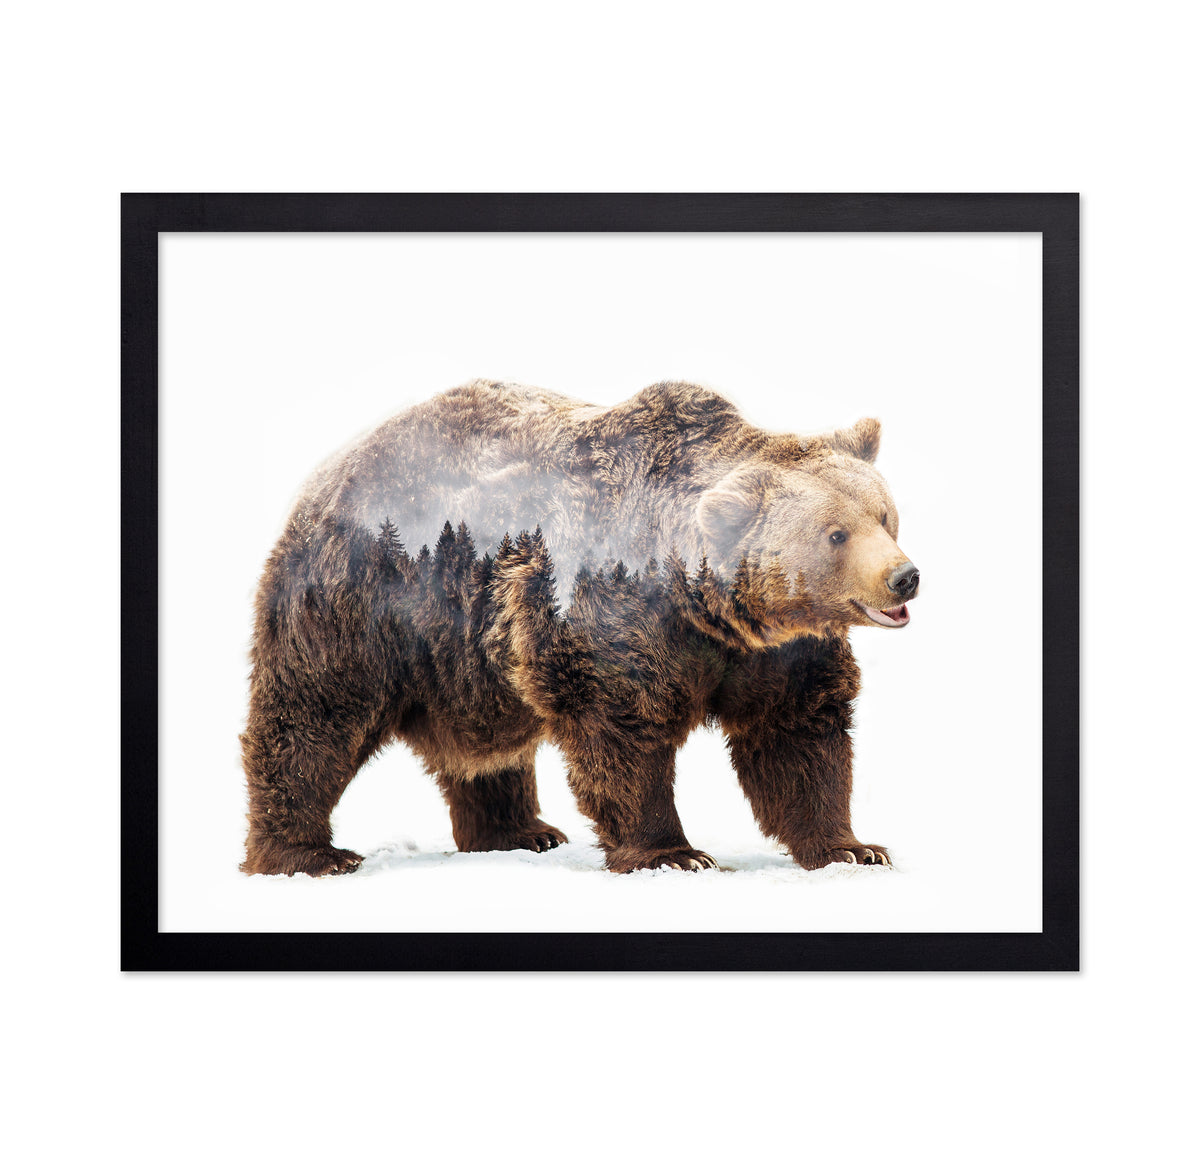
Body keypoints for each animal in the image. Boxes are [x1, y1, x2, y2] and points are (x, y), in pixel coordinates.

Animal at [240, 379, 920, 877]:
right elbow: (623, 730)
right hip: (364, 599)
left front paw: (852, 847)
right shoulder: (612, 611)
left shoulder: (777, 654)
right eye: (836, 534)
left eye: (885, 516)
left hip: (468, 658)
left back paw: (519, 831)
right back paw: (307, 853)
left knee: (486, 750)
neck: (708, 607)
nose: (904, 577)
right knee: (315, 716)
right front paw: (675, 853)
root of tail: (329, 470)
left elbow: (798, 736)